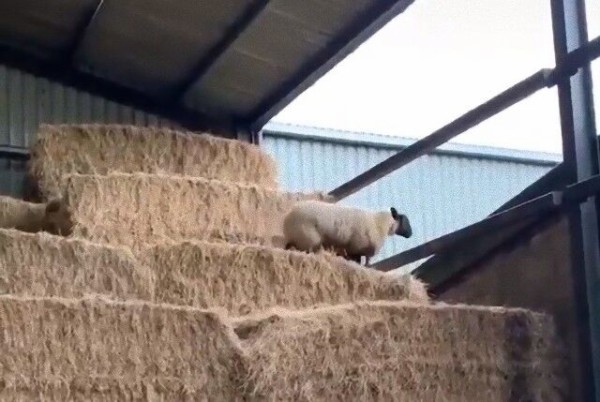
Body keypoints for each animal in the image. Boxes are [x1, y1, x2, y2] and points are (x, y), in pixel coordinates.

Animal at [282, 199, 412, 266]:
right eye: (405, 220)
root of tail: (288, 216)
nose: (410, 234)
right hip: (308, 238)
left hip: (297, 238)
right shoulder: (359, 249)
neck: (380, 222)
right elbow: (365, 263)